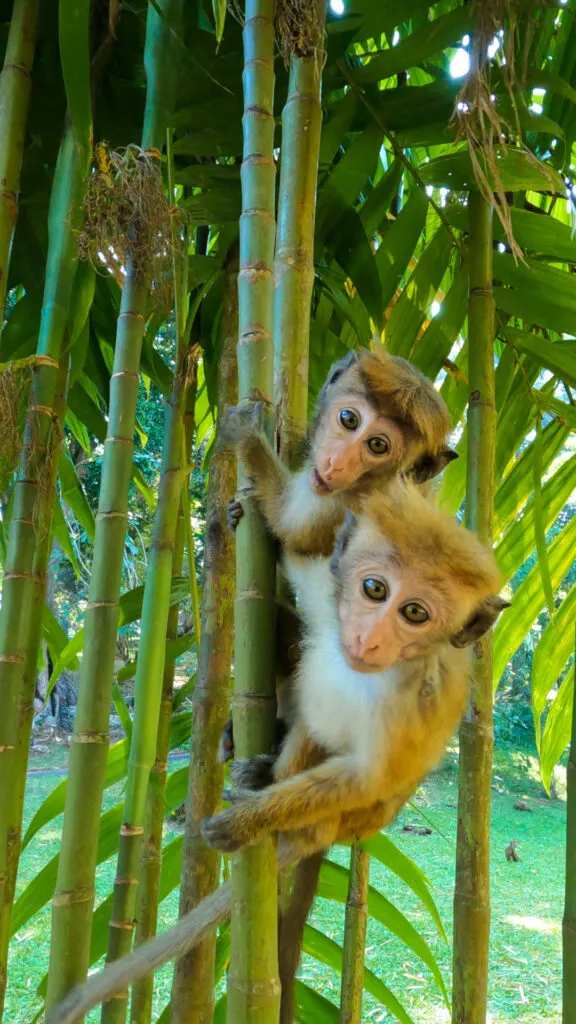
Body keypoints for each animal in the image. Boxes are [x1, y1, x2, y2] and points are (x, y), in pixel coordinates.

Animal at [44, 481, 508, 1024]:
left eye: (415, 613)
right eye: (375, 589)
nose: (368, 639)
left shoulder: (416, 701)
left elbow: (365, 778)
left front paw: (249, 820)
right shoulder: (330, 598)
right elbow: (301, 566)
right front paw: (247, 513)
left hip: (332, 819)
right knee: (295, 657)